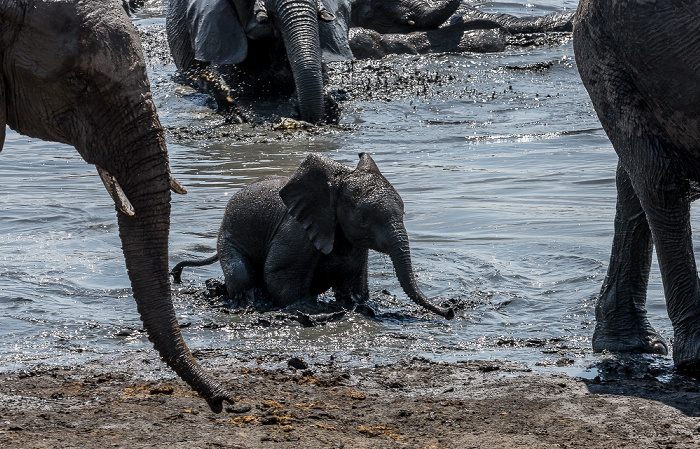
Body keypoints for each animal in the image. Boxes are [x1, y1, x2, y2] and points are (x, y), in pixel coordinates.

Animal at [170, 153, 454, 318]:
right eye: (363, 219)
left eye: (405, 212)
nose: (450, 310)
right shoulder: (296, 232)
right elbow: (279, 274)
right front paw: (310, 309)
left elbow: (354, 286)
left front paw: (355, 305)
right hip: (229, 237)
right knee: (241, 274)